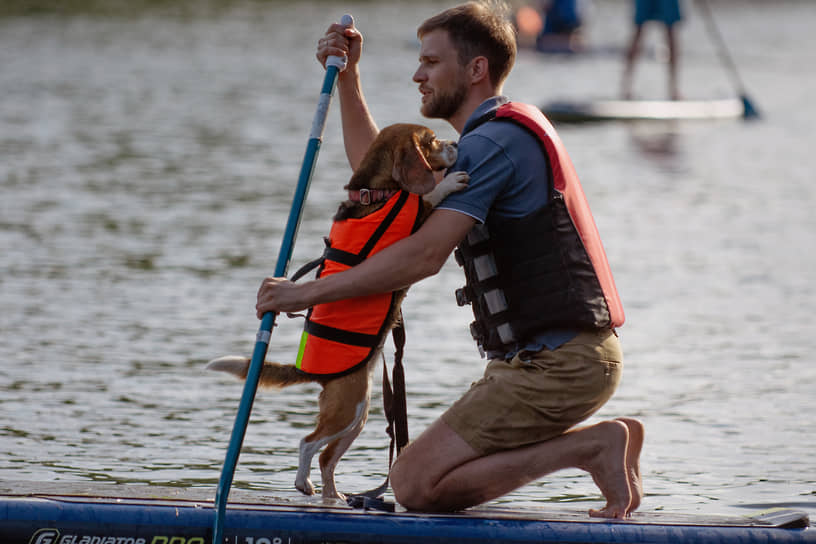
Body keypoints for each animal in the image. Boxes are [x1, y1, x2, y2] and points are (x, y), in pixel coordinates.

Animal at [207, 124, 468, 502]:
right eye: (431, 141)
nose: (457, 143)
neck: (376, 191)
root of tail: (312, 372)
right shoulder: (415, 227)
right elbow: (429, 198)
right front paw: (448, 183)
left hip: (356, 414)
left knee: (326, 457)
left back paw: (333, 495)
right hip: (346, 411)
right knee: (308, 443)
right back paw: (304, 482)